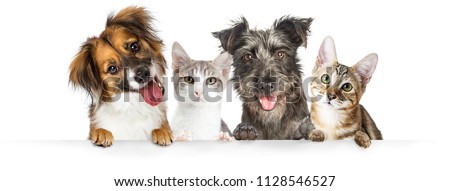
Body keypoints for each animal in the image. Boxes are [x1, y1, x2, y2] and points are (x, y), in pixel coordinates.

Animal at [69, 5, 173, 146]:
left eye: (134, 46)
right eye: (112, 69)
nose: (143, 74)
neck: (134, 107)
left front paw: (161, 131)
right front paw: (101, 133)